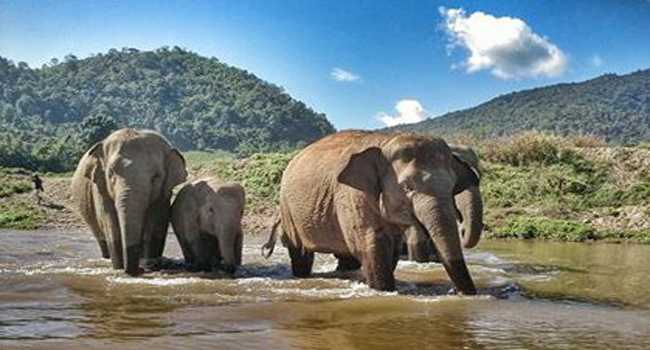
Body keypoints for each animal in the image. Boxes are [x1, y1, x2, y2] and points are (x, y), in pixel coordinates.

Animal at [71, 129, 187, 276]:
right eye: (111, 174)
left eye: (156, 176)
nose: (139, 270)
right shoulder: (101, 188)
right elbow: (111, 223)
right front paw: (119, 268)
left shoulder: (163, 191)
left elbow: (156, 222)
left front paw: (150, 266)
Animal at [260, 131, 474, 292]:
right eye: (407, 187)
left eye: (452, 187)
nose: (456, 291)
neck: (387, 141)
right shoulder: (353, 195)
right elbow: (372, 245)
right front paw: (383, 290)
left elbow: (391, 250)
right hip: (288, 210)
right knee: (301, 254)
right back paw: (303, 275)